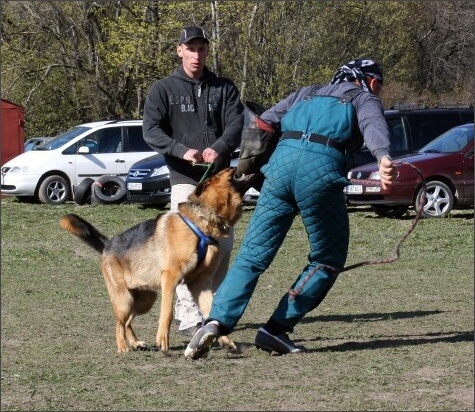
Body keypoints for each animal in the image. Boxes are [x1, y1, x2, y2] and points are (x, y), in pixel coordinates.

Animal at [60, 167, 256, 354]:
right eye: (228, 170)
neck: (201, 224)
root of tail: (108, 244)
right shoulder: (171, 277)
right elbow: (167, 313)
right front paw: (163, 340)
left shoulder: (200, 284)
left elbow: (210, 312)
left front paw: (219, 338)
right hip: (124, 300)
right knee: (119, 323)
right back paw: (122, 346)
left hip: (145, 299)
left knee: (128, 321)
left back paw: (135, 343)